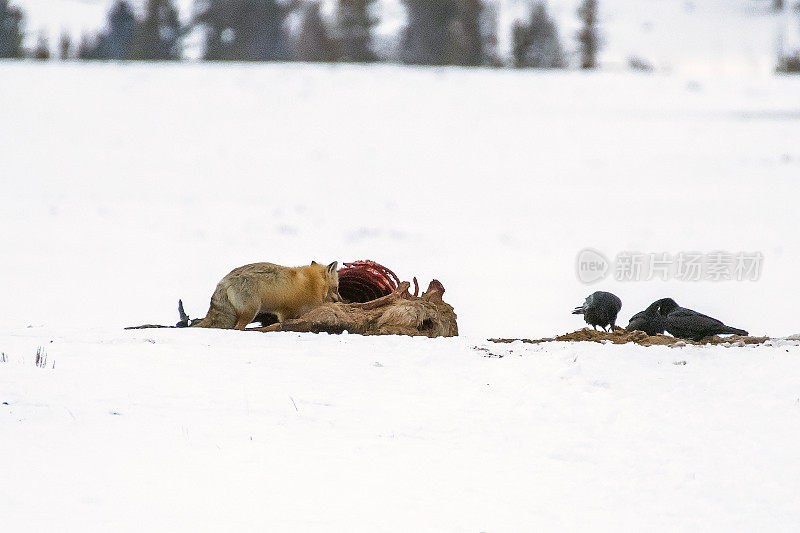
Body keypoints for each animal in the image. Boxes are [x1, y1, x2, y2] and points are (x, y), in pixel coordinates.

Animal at [197, 260, 344, 330]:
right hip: (251, 311)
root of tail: (224, 281)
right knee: (238, 328)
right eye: (337, 288)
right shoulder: (288, 312)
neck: (313, 283)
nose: (343, 300)